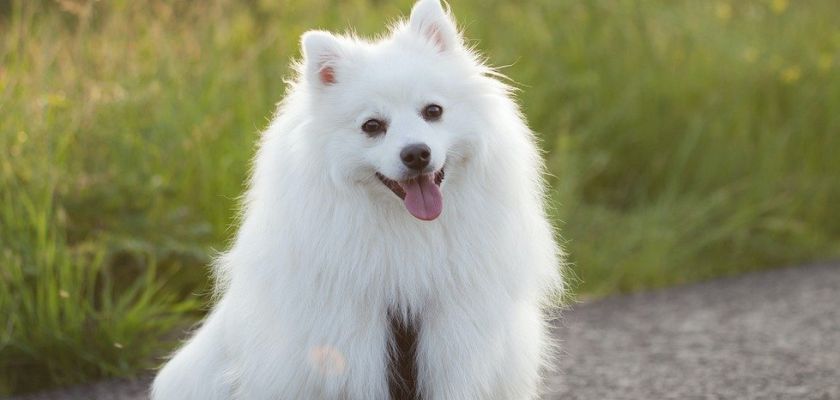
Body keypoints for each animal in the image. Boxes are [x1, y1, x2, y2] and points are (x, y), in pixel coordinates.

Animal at [153, 1, 560, 398]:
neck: (406, 237)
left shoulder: (455, 342)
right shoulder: (346, 349)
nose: (416, 154)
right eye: (372, 126)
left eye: (433, 111)